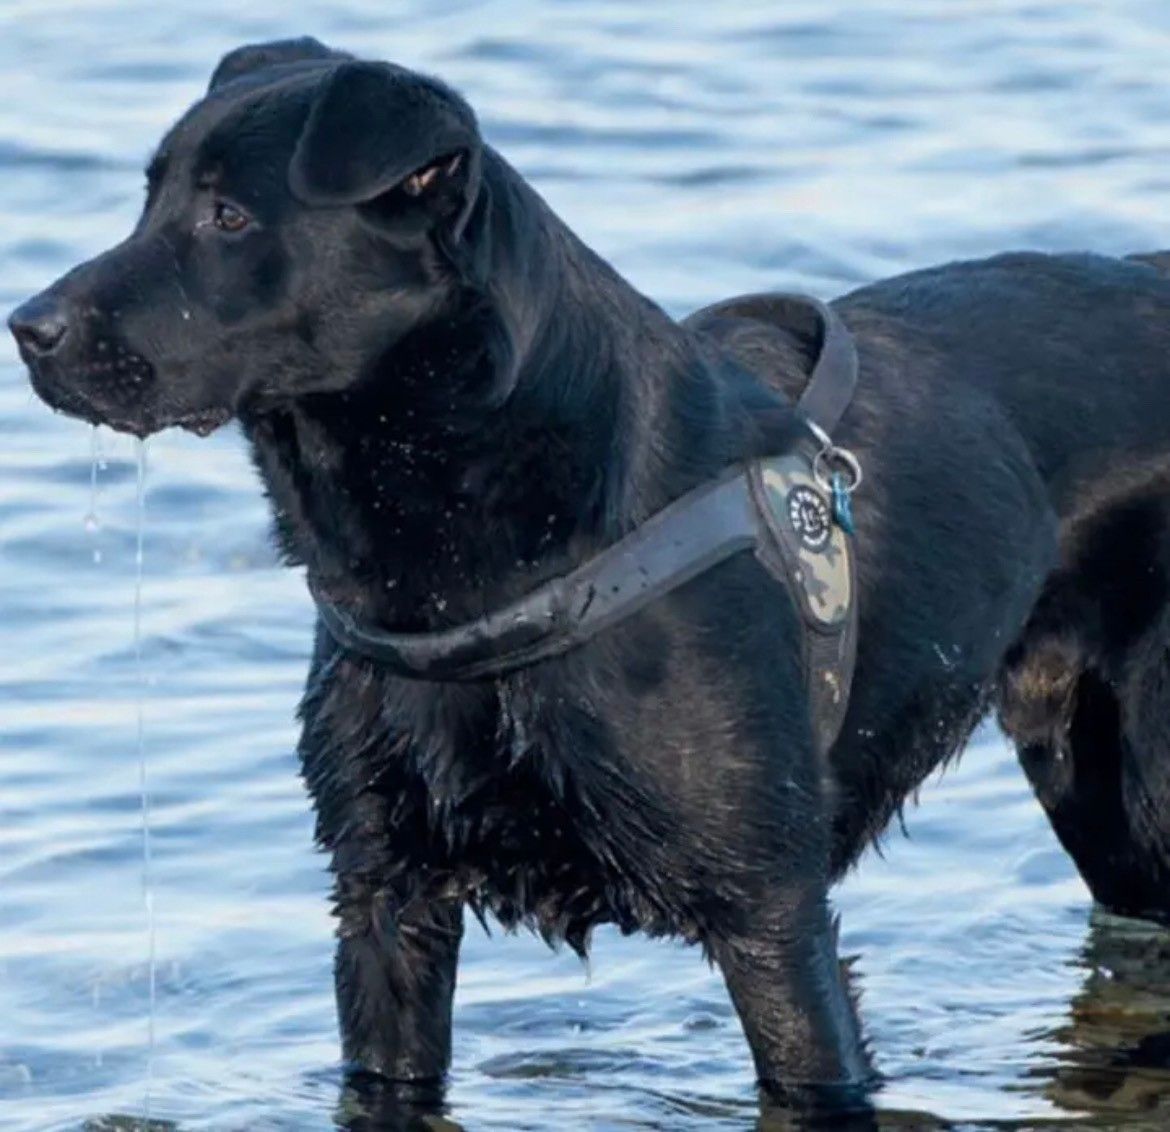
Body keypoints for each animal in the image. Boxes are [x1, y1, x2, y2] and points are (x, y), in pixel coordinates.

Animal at [13, 37, 1170, 1113]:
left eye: (228, 219)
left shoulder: (772, 919)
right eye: (151, 200)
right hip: (1093, 787)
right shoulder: (384, 902)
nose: (25, 327)